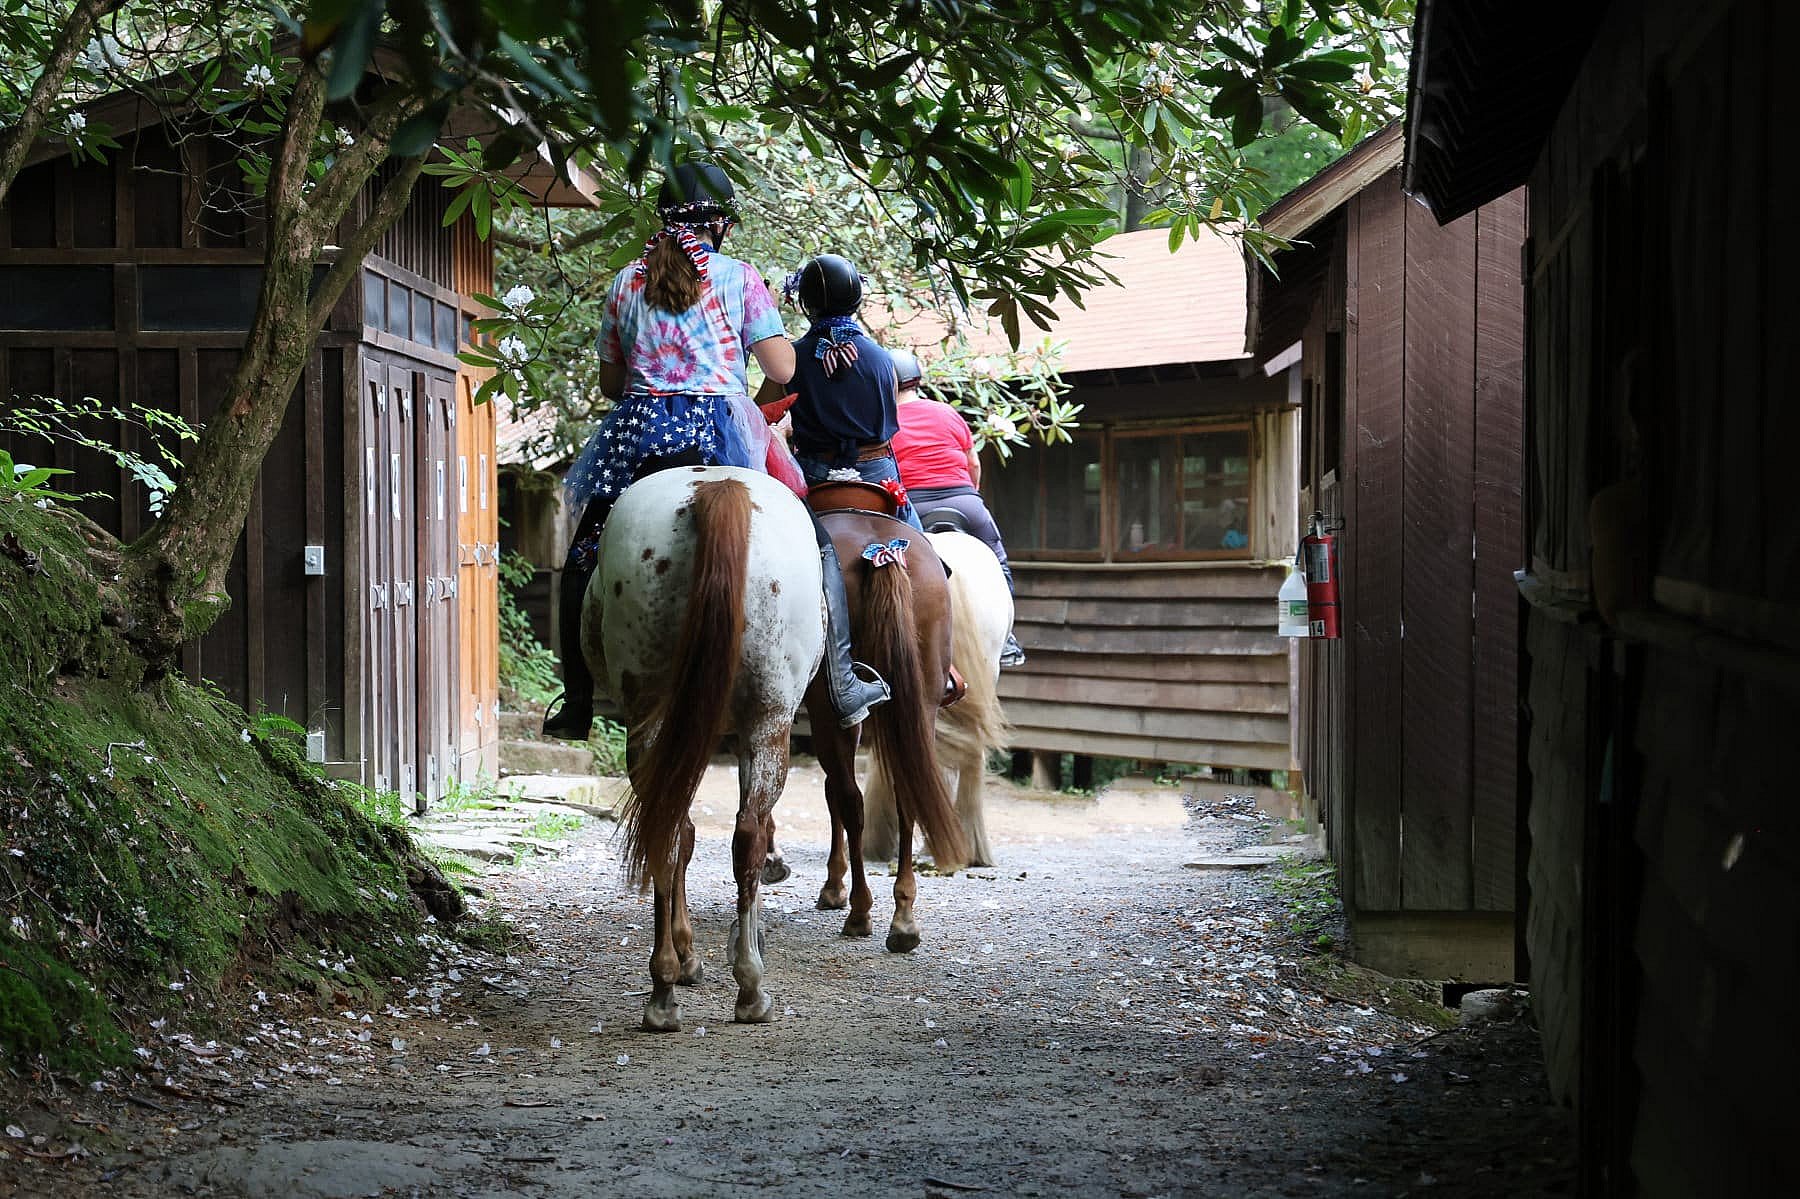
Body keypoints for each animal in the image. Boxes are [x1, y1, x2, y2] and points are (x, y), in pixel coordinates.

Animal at [585, 466, 824, 1032]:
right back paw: (748, 987)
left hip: (653, 716)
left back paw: (663, 990)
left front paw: (687, 954)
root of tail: (717, 491)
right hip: (767, 721)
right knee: (744, 836)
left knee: (669, 831)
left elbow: (686, 834)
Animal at [804, 503, 969, 953]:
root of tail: (882, 551)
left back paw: (860, 911)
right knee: (906, 792)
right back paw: (904, 919)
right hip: (920, 699)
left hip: (829, 707)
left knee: (849, 798)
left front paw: (833, 887)